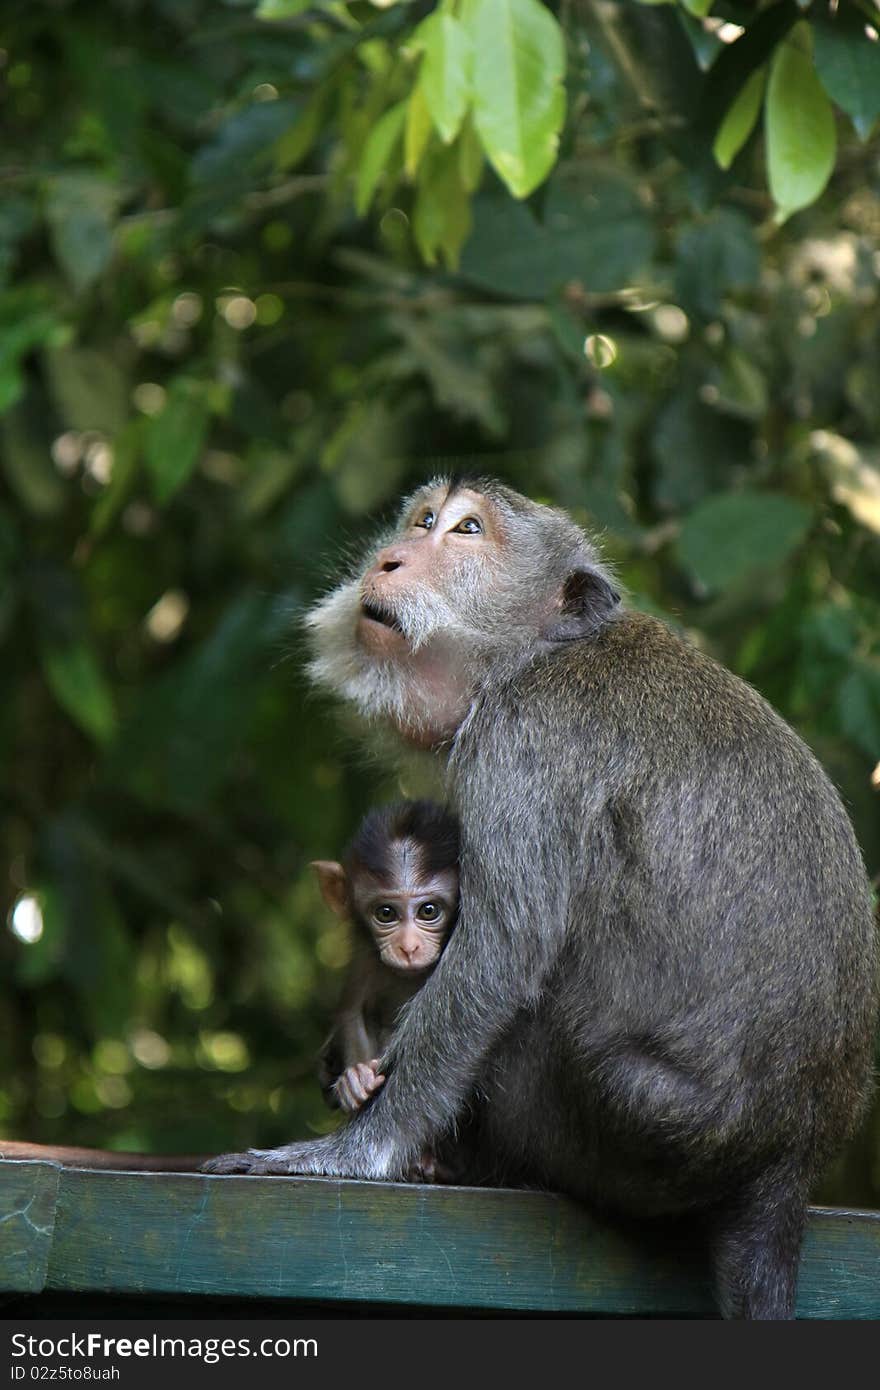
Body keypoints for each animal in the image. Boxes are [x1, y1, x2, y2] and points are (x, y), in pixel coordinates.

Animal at [310, 800, 458, 1112]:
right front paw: (354, 1080)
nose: (408, 947)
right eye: (386, 913)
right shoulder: (366, 957)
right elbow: (353, 1011)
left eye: (428, 910)